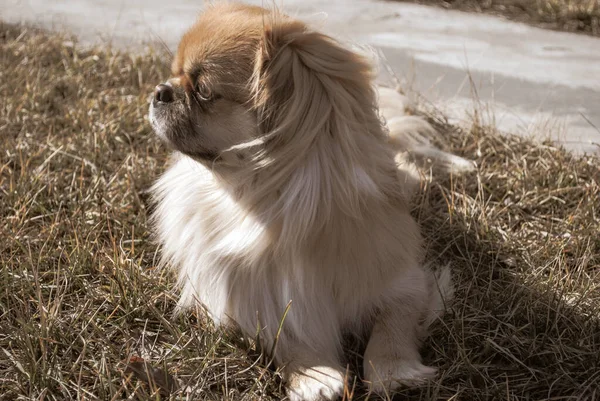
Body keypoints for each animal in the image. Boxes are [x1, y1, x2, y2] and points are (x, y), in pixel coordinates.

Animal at [150, 3, 460, 400]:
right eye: (173, 74)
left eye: (203, 90)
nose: (161, 90)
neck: (259, 205)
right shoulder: (253, 300)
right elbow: (289, 336)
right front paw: (315, 376)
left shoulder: (405, 282)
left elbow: (394, 325)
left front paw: (394, 371)